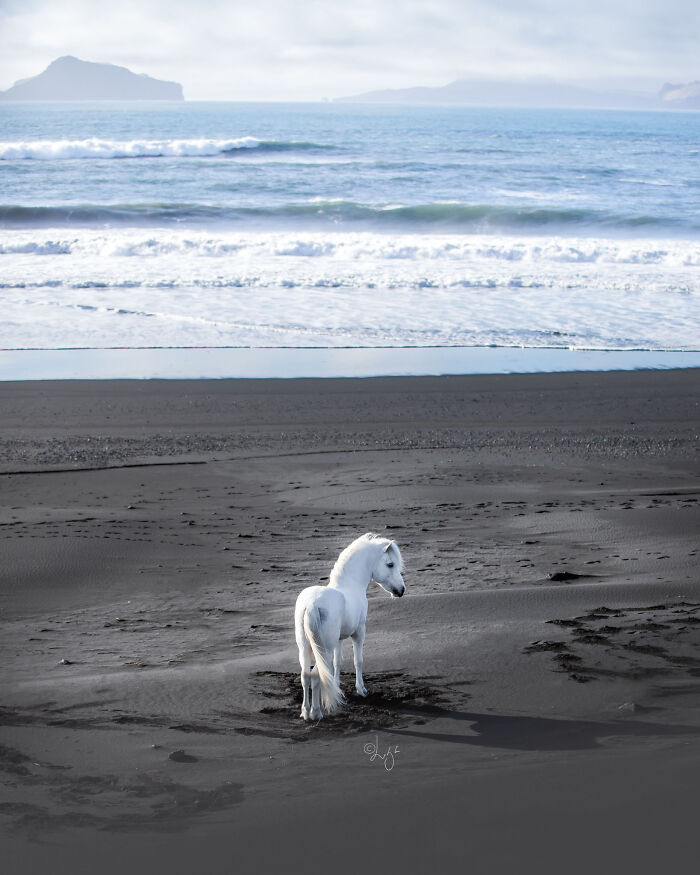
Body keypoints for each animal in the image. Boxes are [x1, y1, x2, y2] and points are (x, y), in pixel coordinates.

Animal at [294, 532, 406, 721]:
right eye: (390, 564)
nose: (401, 590)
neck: (350, 584)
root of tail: (311, 605)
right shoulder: (359, 633)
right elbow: (358, 661)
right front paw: (361, 689)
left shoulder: (339, 640)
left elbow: (337, 662)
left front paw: (337, 685)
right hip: (323, 648)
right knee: (316, 675)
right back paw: (316, 712)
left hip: (305, 647)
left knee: (305, 675)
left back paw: (305, 712)